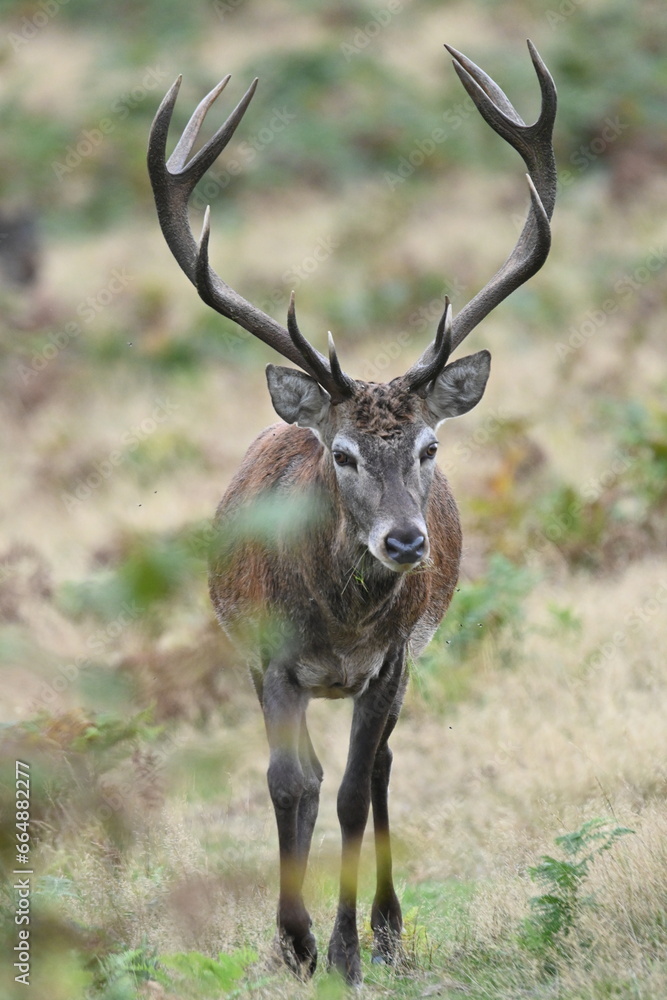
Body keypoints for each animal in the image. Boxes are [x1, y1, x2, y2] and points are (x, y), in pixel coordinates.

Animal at [147, 40, 556, 985]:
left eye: (430, 447)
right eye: (340, 454)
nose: (405, 540)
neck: (335, 622)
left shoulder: (390, 660)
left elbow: (346, 792)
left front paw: (341, 948)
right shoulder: (266, 655)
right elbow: (287, 785)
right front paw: (291, 940)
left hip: (404, 663)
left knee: (377, 774)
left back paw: (387, 929)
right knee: (313, 779)